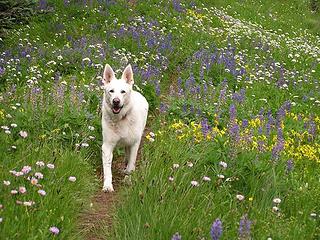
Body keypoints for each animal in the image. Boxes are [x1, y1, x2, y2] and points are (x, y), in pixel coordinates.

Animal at [101, 64, 149, 193]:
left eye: (123, 92)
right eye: (111, 91)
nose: (116, 101)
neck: (121, 118)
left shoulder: (134, 144)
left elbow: (131, 166)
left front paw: (128, 179)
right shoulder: (107, 146)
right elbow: (107, 169)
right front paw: (107, 186)